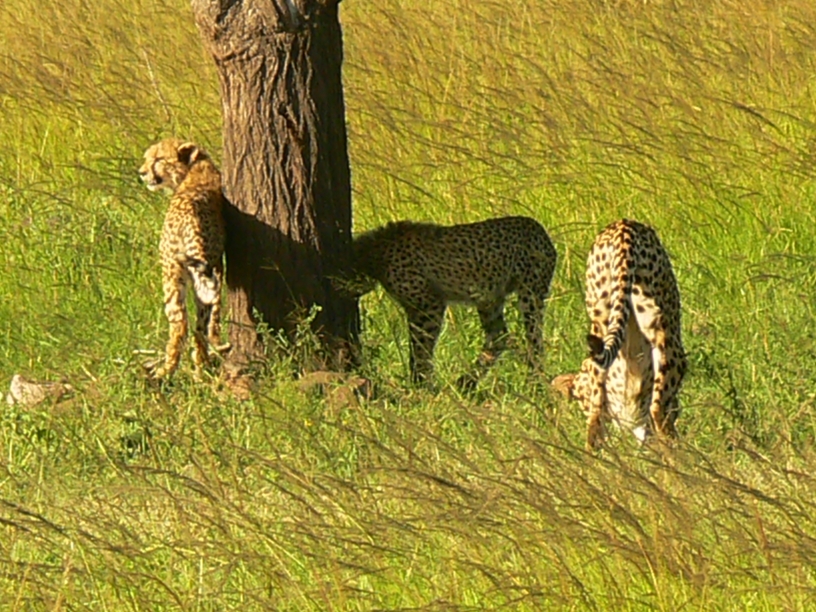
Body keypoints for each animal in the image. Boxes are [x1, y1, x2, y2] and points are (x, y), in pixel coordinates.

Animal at [138, 138, 226, 380]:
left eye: (158, 159)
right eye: (146, 158)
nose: (141, 172)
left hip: (171, 273)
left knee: (180, 325)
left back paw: (166, 371)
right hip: (206, 270)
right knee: (202, 322)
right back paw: (200, 367)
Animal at [344, 216, 557, 389]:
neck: (375, 251)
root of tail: (537, 226)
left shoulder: (429, 305)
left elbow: (421, 348)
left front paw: (421, 385)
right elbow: (416, 348)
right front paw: (420, 383)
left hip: (529, 295)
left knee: (535, 341)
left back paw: (535, 384)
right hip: (488, 297)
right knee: (498, 336)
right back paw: (466, 382)